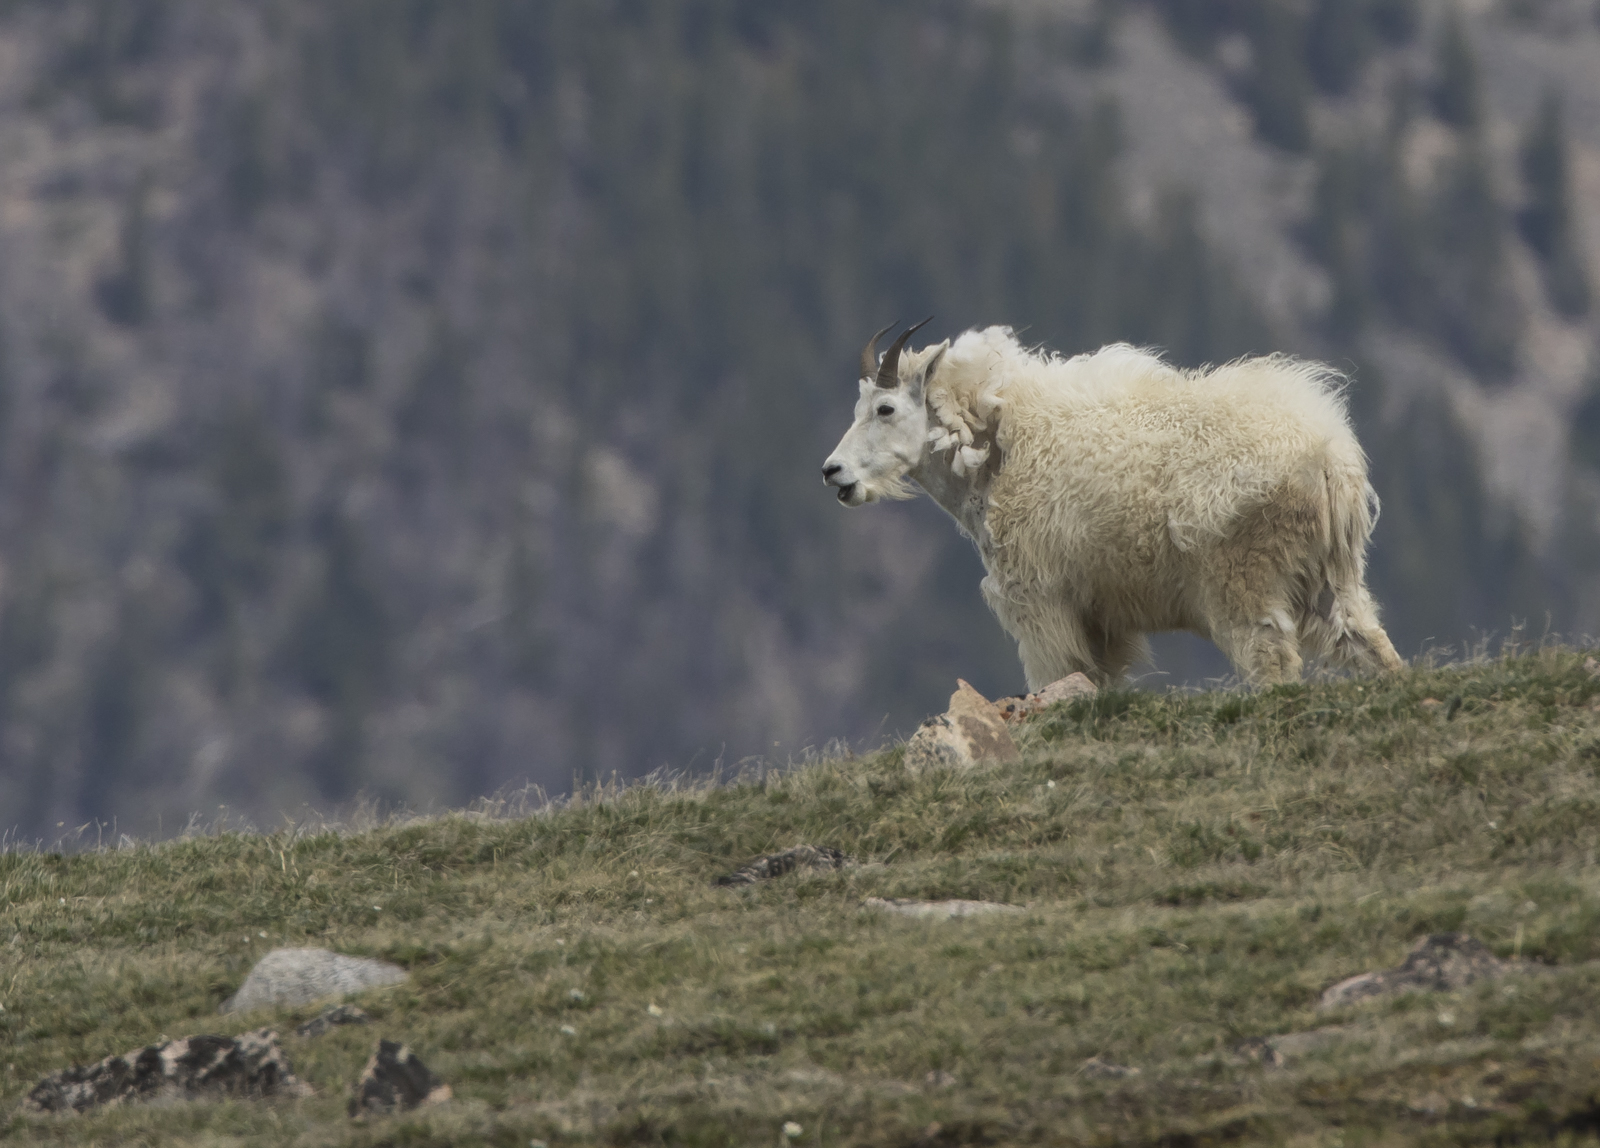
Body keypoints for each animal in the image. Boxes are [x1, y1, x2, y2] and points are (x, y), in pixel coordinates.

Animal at [822, 322, 1404, 688]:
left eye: (884, 408)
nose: (833, 473)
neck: (995, 450)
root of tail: (1330, 457)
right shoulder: (1099, 620)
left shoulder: (1041, 602)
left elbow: (1055, 678)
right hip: (1331, 578)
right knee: (1369, 642)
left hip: (1245, 579)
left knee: (1273, 660)